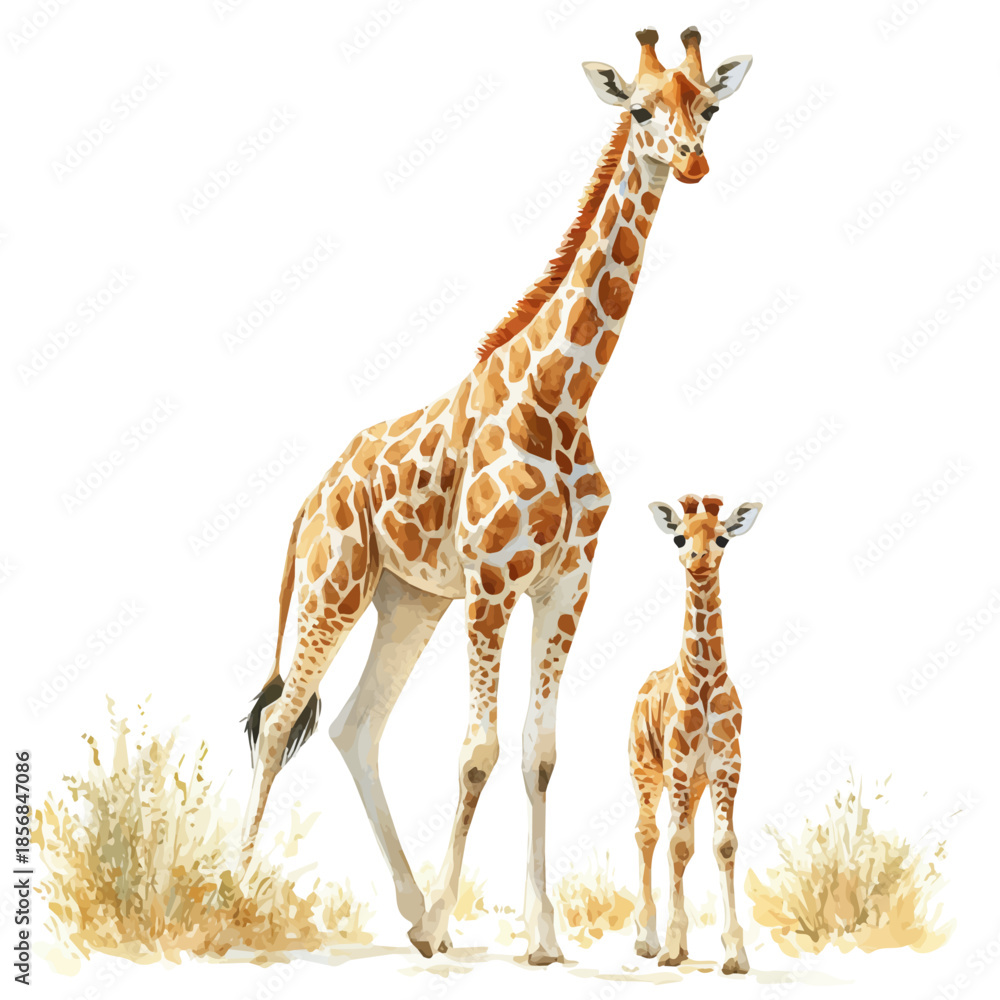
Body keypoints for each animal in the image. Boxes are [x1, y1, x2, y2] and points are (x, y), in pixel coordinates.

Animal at [629, 494, 762, 974]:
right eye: (679, 537)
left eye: (722, 538)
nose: (698, 559)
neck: (704, 680)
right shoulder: (680, 768)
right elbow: (679, 845)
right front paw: (669, 946)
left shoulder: (726, 767)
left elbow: (722, 844)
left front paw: (735, 953)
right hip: (646, 771)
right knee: (648, 834)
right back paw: (647, 939)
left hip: (693, 781)